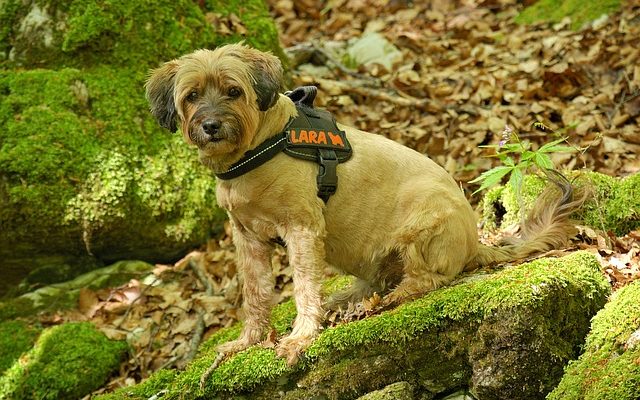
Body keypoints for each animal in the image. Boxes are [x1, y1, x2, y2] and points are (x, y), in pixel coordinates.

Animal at [145, 43, 584, 366]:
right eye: (192, 96)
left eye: (234, 91)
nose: (211, 125)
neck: (258, 147)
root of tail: (476, 243)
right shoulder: (248, 238)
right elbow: (254, 294)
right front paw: (248, 340)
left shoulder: (302, 229)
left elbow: (303, 286)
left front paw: (300, 337)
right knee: (372, 281)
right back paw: (349, 301)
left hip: (423, 216)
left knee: (429, 278)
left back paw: (394, 296)